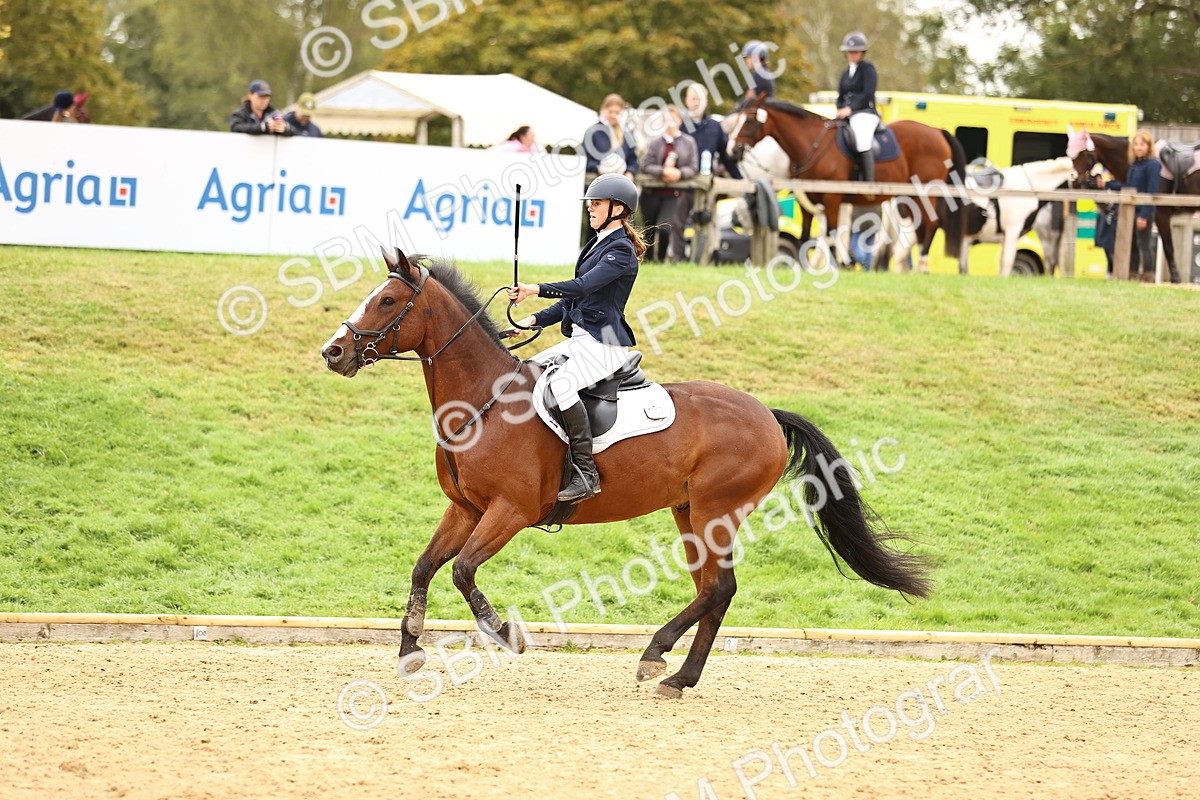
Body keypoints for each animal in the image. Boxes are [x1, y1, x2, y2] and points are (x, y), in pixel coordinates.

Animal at [320, 249, 932, 699]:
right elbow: (425, 567)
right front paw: (410, 651)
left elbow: (463, 572)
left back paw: (656, 656)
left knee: (720, 587)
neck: (482, 402)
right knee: (714, 591)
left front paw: (506, 634)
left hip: (716, 510)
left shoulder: (510, 511)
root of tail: (766, 413)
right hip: (690, 514)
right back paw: (678, 677)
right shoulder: (466, 508)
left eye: (388, 300)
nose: (333, 352)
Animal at [729, 95, 969, 274]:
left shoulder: (832, 199)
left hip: (925, 194)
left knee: (931, 224)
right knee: (917, 228)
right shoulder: (810, 201)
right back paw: (907, 267)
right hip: (906, 197)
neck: (813, 145)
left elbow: (832, 232)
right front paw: (807, 266)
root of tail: (937, 131)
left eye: (749, 121)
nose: (732, 150)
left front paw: (835, 266)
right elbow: (808, 235)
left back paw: (922, 266)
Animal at [1066, 128, 1193, 282]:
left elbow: (1168, 246)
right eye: (1070, 155)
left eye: (1084, 153)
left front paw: (1175, 277)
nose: (1074, 181)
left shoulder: (1160, 214)